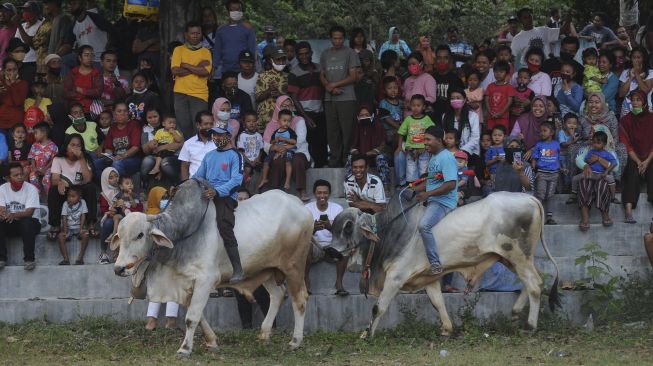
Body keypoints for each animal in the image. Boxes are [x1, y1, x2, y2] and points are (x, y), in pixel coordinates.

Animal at [112, 180, 314, 358]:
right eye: (120, 236)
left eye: (140, 235)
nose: (119, 269)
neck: (183, 235)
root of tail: (299, 205)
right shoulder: (186, 283)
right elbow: (198, 316)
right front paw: (212, 342)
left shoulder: (205, 279)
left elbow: (192, 317)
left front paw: (185, 349)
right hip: (266, 269)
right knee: (278, 294)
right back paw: (264, 335)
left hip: (294, 266)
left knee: (299, 300)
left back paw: (295, 341)